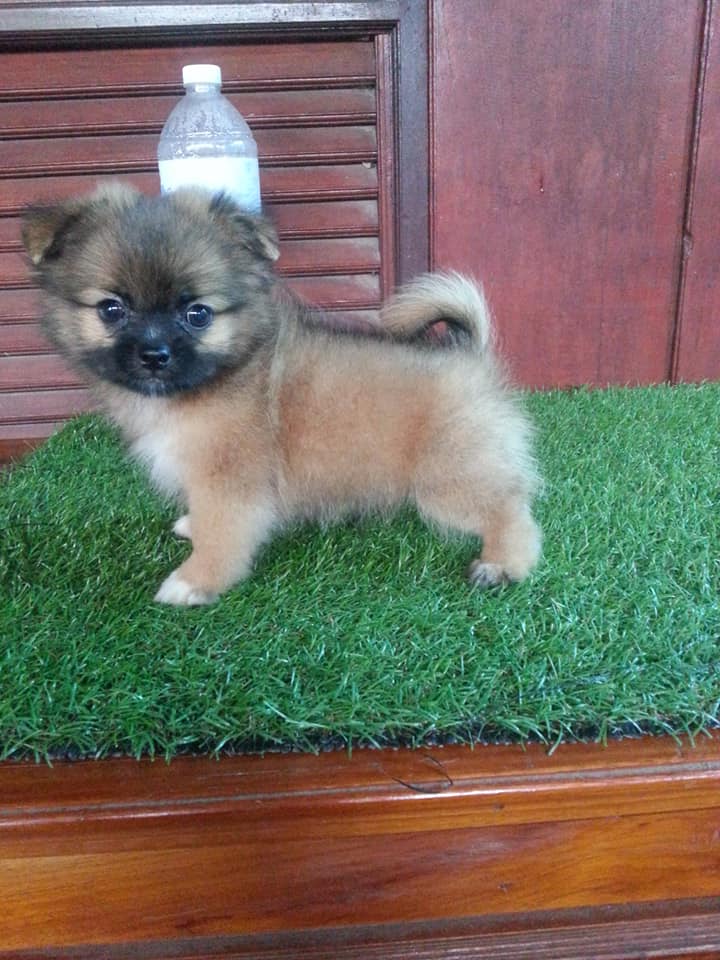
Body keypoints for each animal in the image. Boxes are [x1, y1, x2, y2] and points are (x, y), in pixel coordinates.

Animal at [22, 183, 541, 605]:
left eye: (197, 314)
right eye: (111, 309)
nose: (155, 354)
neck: (223, 374)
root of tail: (472, 356)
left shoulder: (228, 482)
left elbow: (221, 536)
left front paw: (195, 581)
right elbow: (204, 518)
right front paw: (192, 528)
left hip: (447, 481)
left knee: (510, 511)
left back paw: (502, 564)